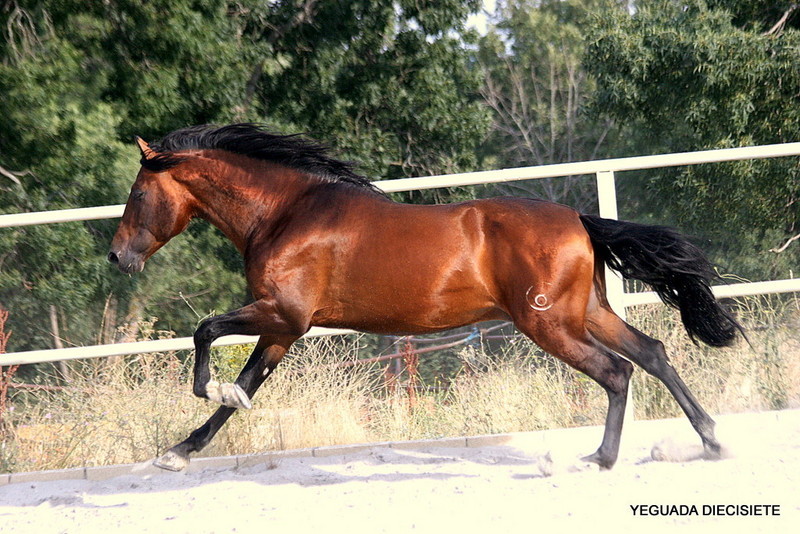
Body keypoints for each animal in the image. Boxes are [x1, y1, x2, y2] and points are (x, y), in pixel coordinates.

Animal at [108, 123, 742, 472]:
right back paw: (710, 441)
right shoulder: (283, 327)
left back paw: (601, 459)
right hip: (585, 314)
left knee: (616, 372)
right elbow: (245, 386)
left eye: (138, 193)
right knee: (653, 353)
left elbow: (207, 334)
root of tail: (579, 221)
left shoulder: (284, 314)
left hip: (550, 325)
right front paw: (180, 450)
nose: (117, 258)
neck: (286, 213)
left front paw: (204, 397)